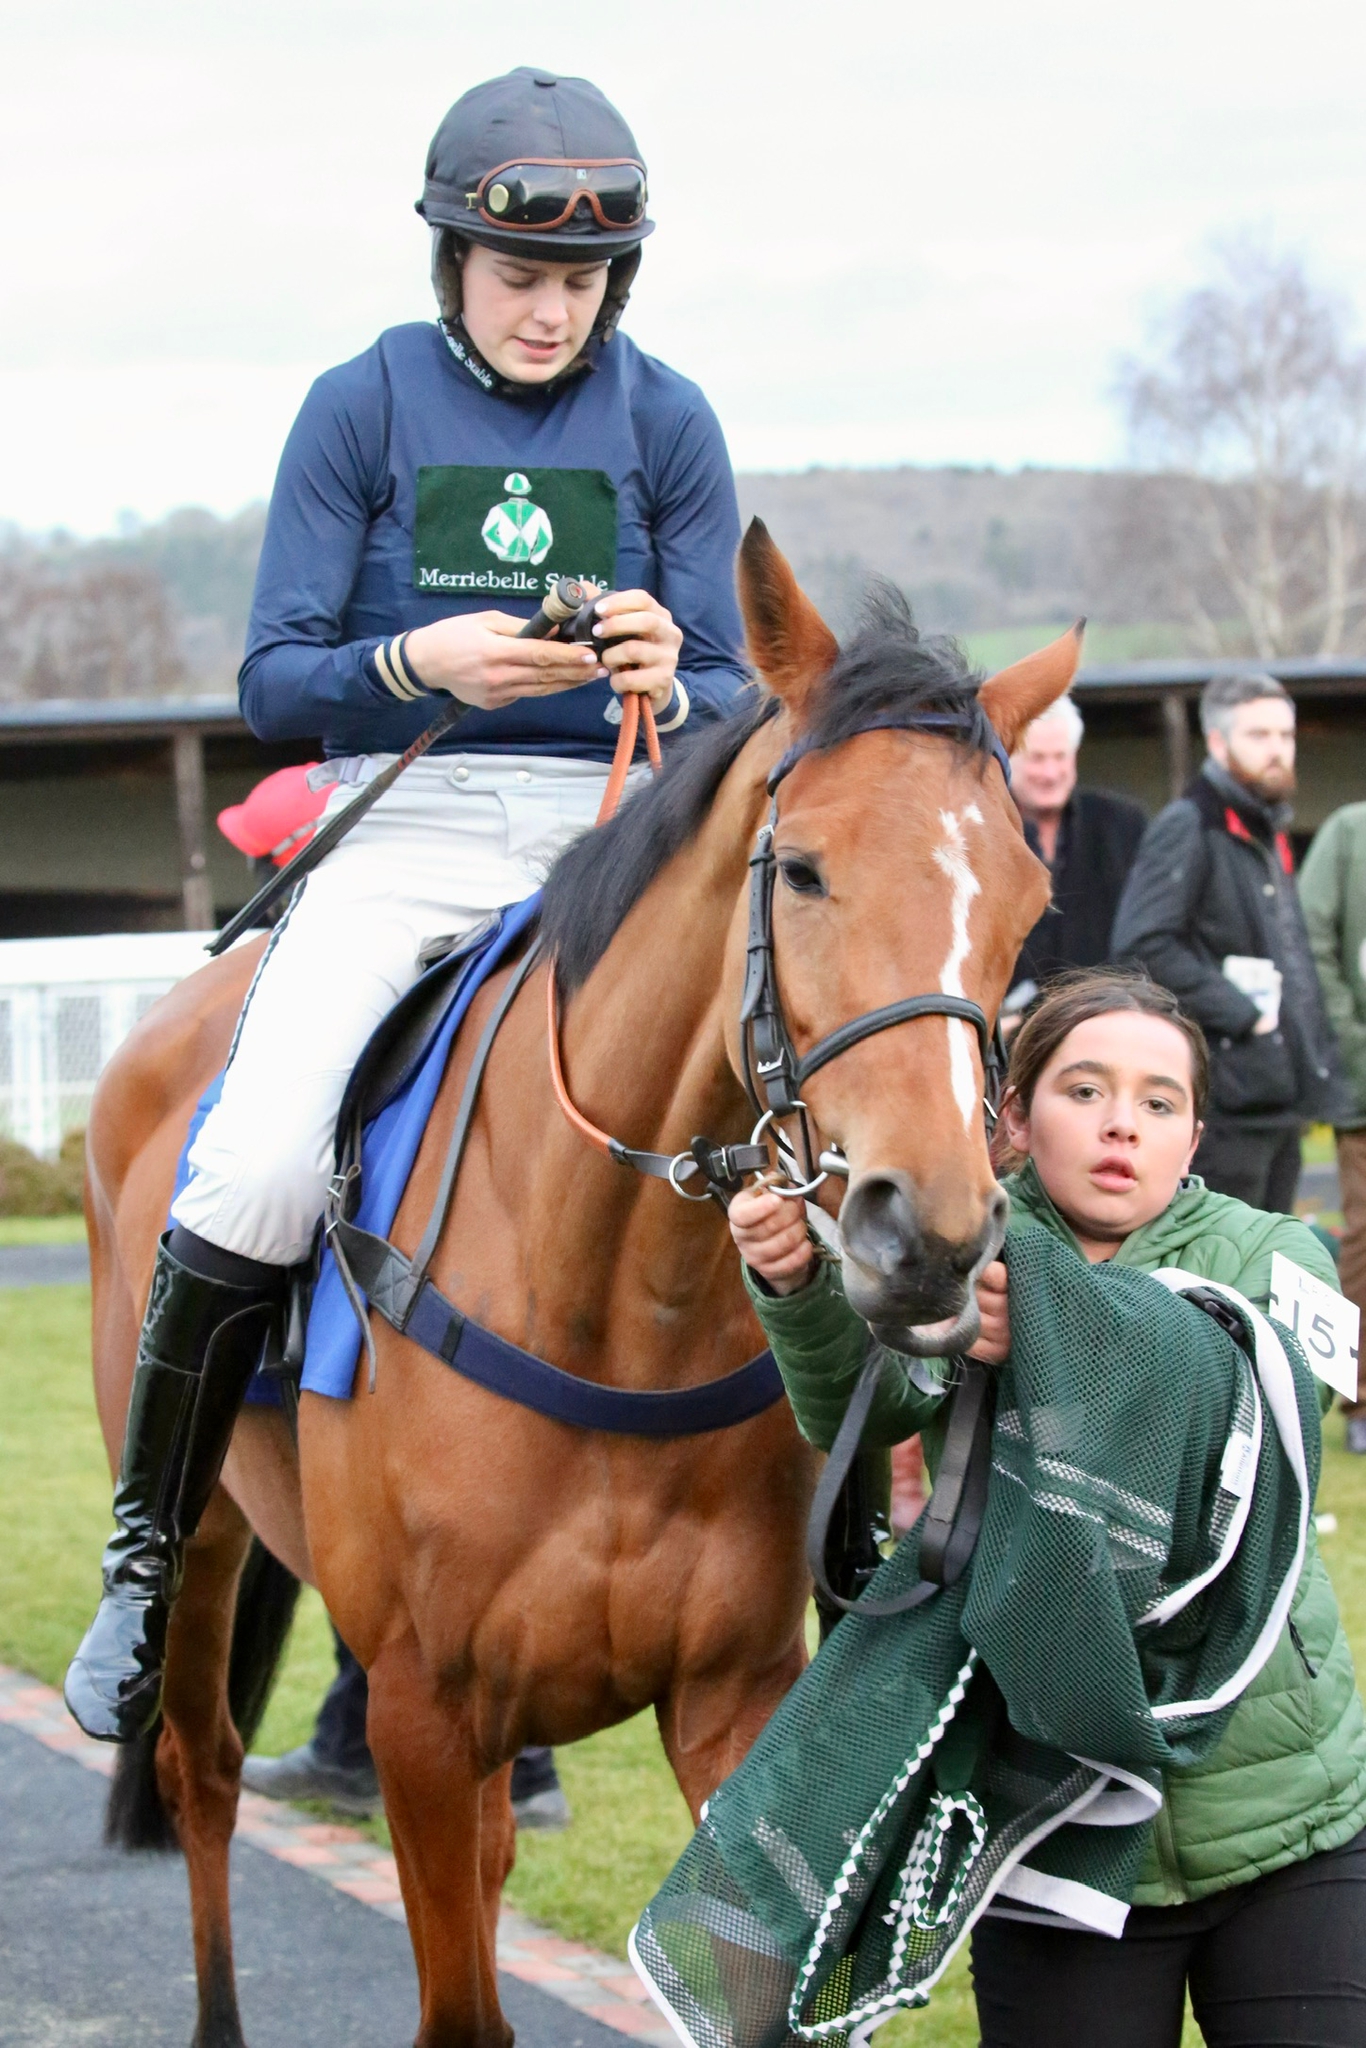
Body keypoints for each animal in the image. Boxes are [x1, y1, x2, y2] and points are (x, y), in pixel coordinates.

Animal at [82, 520, 1081, 2039]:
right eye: (803, 870)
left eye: (1027, 905)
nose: (934, 1232)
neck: (612, 1300)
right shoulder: (422, 1716)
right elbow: (459, 2006)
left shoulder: (730, 1693)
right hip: (204, 1543)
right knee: (201, 1772)